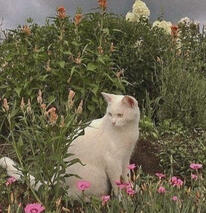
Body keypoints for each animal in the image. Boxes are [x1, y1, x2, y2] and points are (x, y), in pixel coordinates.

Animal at [0, 93, 140, 198]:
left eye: (120, 115)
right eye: (110, 114)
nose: (113, 122)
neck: (127, 131)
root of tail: (54, 180)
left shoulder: (125, 157)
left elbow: (126, 175)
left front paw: (131, 189)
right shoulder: (112, 162)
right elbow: (117, 183)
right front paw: (121, 199)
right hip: (96, 178)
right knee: (73, 195)